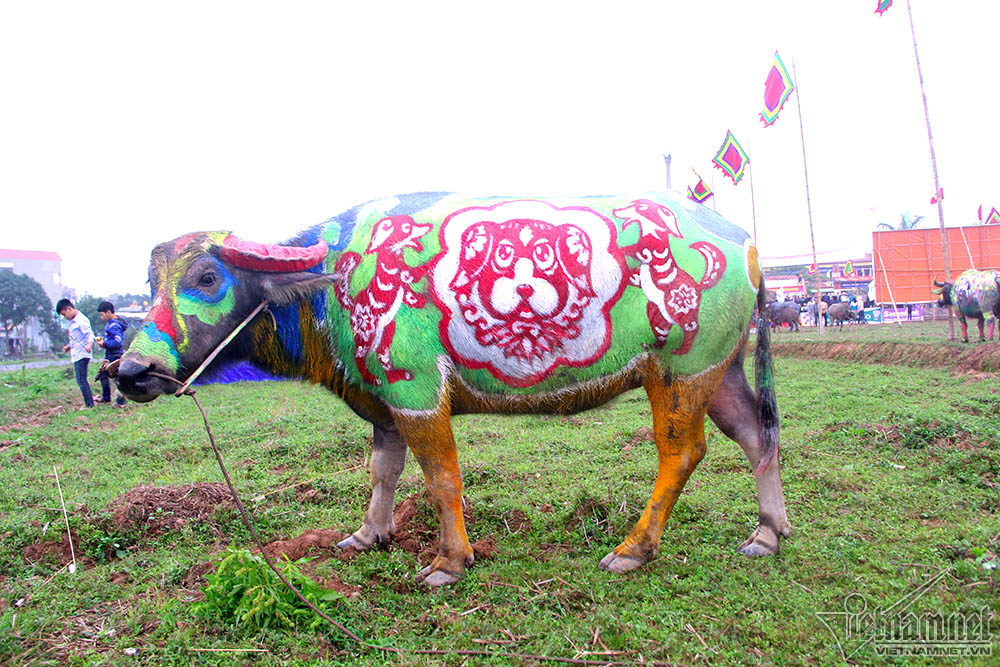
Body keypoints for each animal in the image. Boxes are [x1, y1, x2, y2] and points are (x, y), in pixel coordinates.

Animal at [115, 192, 788, 584]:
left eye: (207, 276)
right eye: (148, 284)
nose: (128, 372)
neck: (330, 285)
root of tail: (748, 245)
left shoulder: (416, 394)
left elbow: (440, 476)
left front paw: (448, 562)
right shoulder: (382, 402)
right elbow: (383, 471)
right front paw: (368, 534)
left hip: (678, 371)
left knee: (683, 451)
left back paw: (632, 549)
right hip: (718, 369)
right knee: (757, 435)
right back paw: (767, 533)